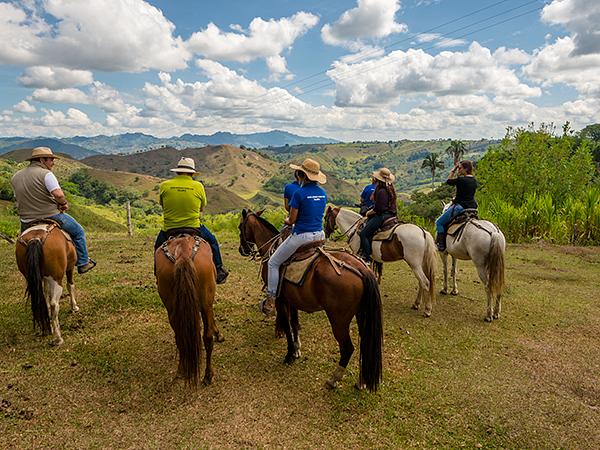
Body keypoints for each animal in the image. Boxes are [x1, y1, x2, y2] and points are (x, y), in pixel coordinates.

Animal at [238, 210, 382, 390]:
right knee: (366, 342)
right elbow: (294, 323)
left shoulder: (280, 299)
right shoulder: (291, 299)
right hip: (362, 314)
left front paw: (290, 354)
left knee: (348, 348)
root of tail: (362, 269)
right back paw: (362, 381)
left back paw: (334, 379)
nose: (241, 249)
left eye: (240, 227)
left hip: (339, 320)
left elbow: (287, 324)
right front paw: (297, 348)